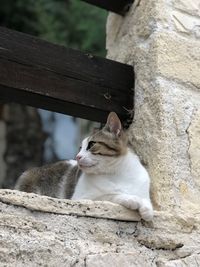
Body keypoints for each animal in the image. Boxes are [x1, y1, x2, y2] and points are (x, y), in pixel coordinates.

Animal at [15, 112, 153, 221]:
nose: (77, 156)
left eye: (91, 144)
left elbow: (146, 200)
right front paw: (132, 199)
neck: (117, 173)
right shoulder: (82, 198)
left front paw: (147, 209)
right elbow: (110, 195)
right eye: (80, 148)